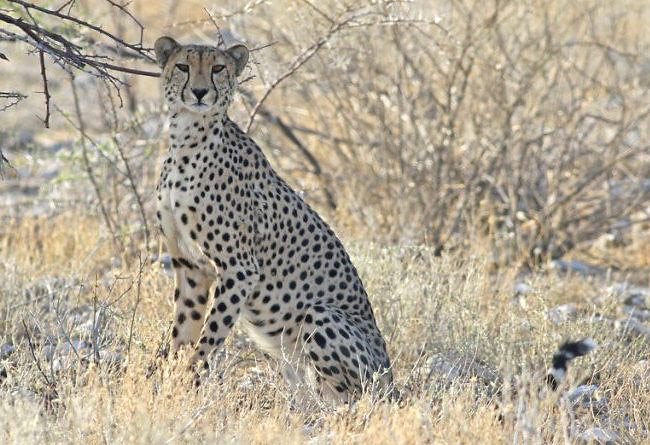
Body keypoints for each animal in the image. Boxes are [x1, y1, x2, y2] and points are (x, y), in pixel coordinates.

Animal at [154, 36, 392, 400]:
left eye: (218, 68)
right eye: (183, 66)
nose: (199, 92)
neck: (187, 141)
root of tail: (393, 379)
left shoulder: (239, 269)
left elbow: (208, 338)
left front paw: (190, 384)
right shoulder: (190, 267)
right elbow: (183, 333)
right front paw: (170, 385)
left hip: (321, 318)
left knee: (349, 399)